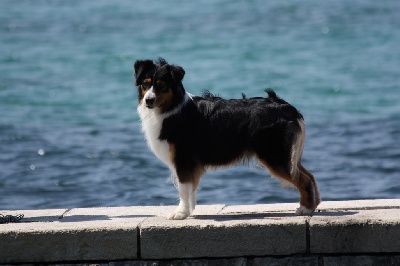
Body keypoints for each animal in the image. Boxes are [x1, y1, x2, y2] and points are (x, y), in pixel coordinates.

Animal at [133, 57, 320, 219]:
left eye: (162, 85)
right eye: (145, 84)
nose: (149, 100)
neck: (172, 108)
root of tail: (289, 108)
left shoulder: (184, 159)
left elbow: (184, 189)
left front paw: (181, 213)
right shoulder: (188, 164)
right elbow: (190, 189)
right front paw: (189, 211)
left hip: (276, 157)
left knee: (304, 180)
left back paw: (305, 208)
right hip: (287, 156)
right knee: (309, 176)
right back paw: (313, 205)